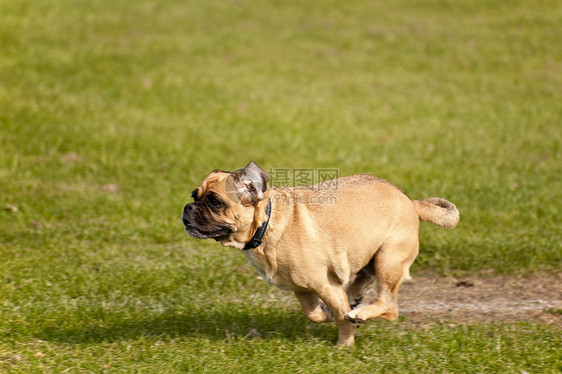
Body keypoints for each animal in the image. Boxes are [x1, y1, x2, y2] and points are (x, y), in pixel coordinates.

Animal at [182, 162, 458, 346]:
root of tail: (411, 202)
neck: (265, 225)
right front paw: (328, 315)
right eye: (194, 196)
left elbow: (341, 318)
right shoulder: (302, 289)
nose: (188, 207)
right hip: (372, 257)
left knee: (389, 306)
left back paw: (360, 312)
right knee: (363, 280)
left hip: (389, 260)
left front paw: (344, 345)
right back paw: (355, 299)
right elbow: (313, 314)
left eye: (215, 201)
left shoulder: (325, 285)